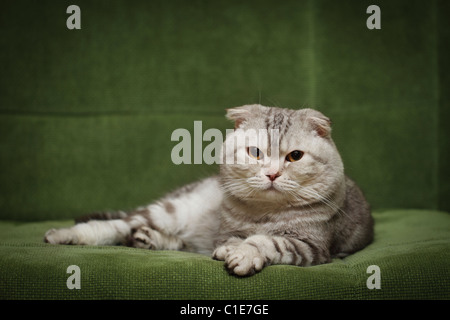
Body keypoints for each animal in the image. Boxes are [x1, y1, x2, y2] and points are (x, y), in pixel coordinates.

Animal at [44, 104, 374, 276]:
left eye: (295, 156)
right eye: (255, 152)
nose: (272, 173)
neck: (265, 213)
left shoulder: (311, 246)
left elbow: (266, 241)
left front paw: (243, 253)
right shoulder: (226, 230)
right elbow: (238, 238)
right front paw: (235, 248)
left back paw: (149, 240)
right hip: (171, 210)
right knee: (113, 226)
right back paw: (63, 235)